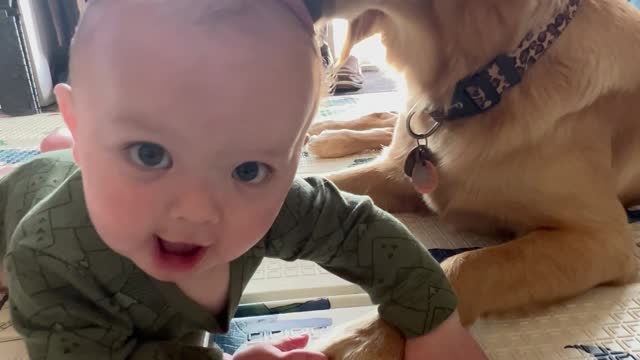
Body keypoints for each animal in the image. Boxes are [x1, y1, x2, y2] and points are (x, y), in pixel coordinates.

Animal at [304, 0, 640, 358]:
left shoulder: (603, 238)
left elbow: (466, 264)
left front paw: (370, 338)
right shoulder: (397, 174)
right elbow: (328, 184)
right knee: (388, 119)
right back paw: (327, 134)